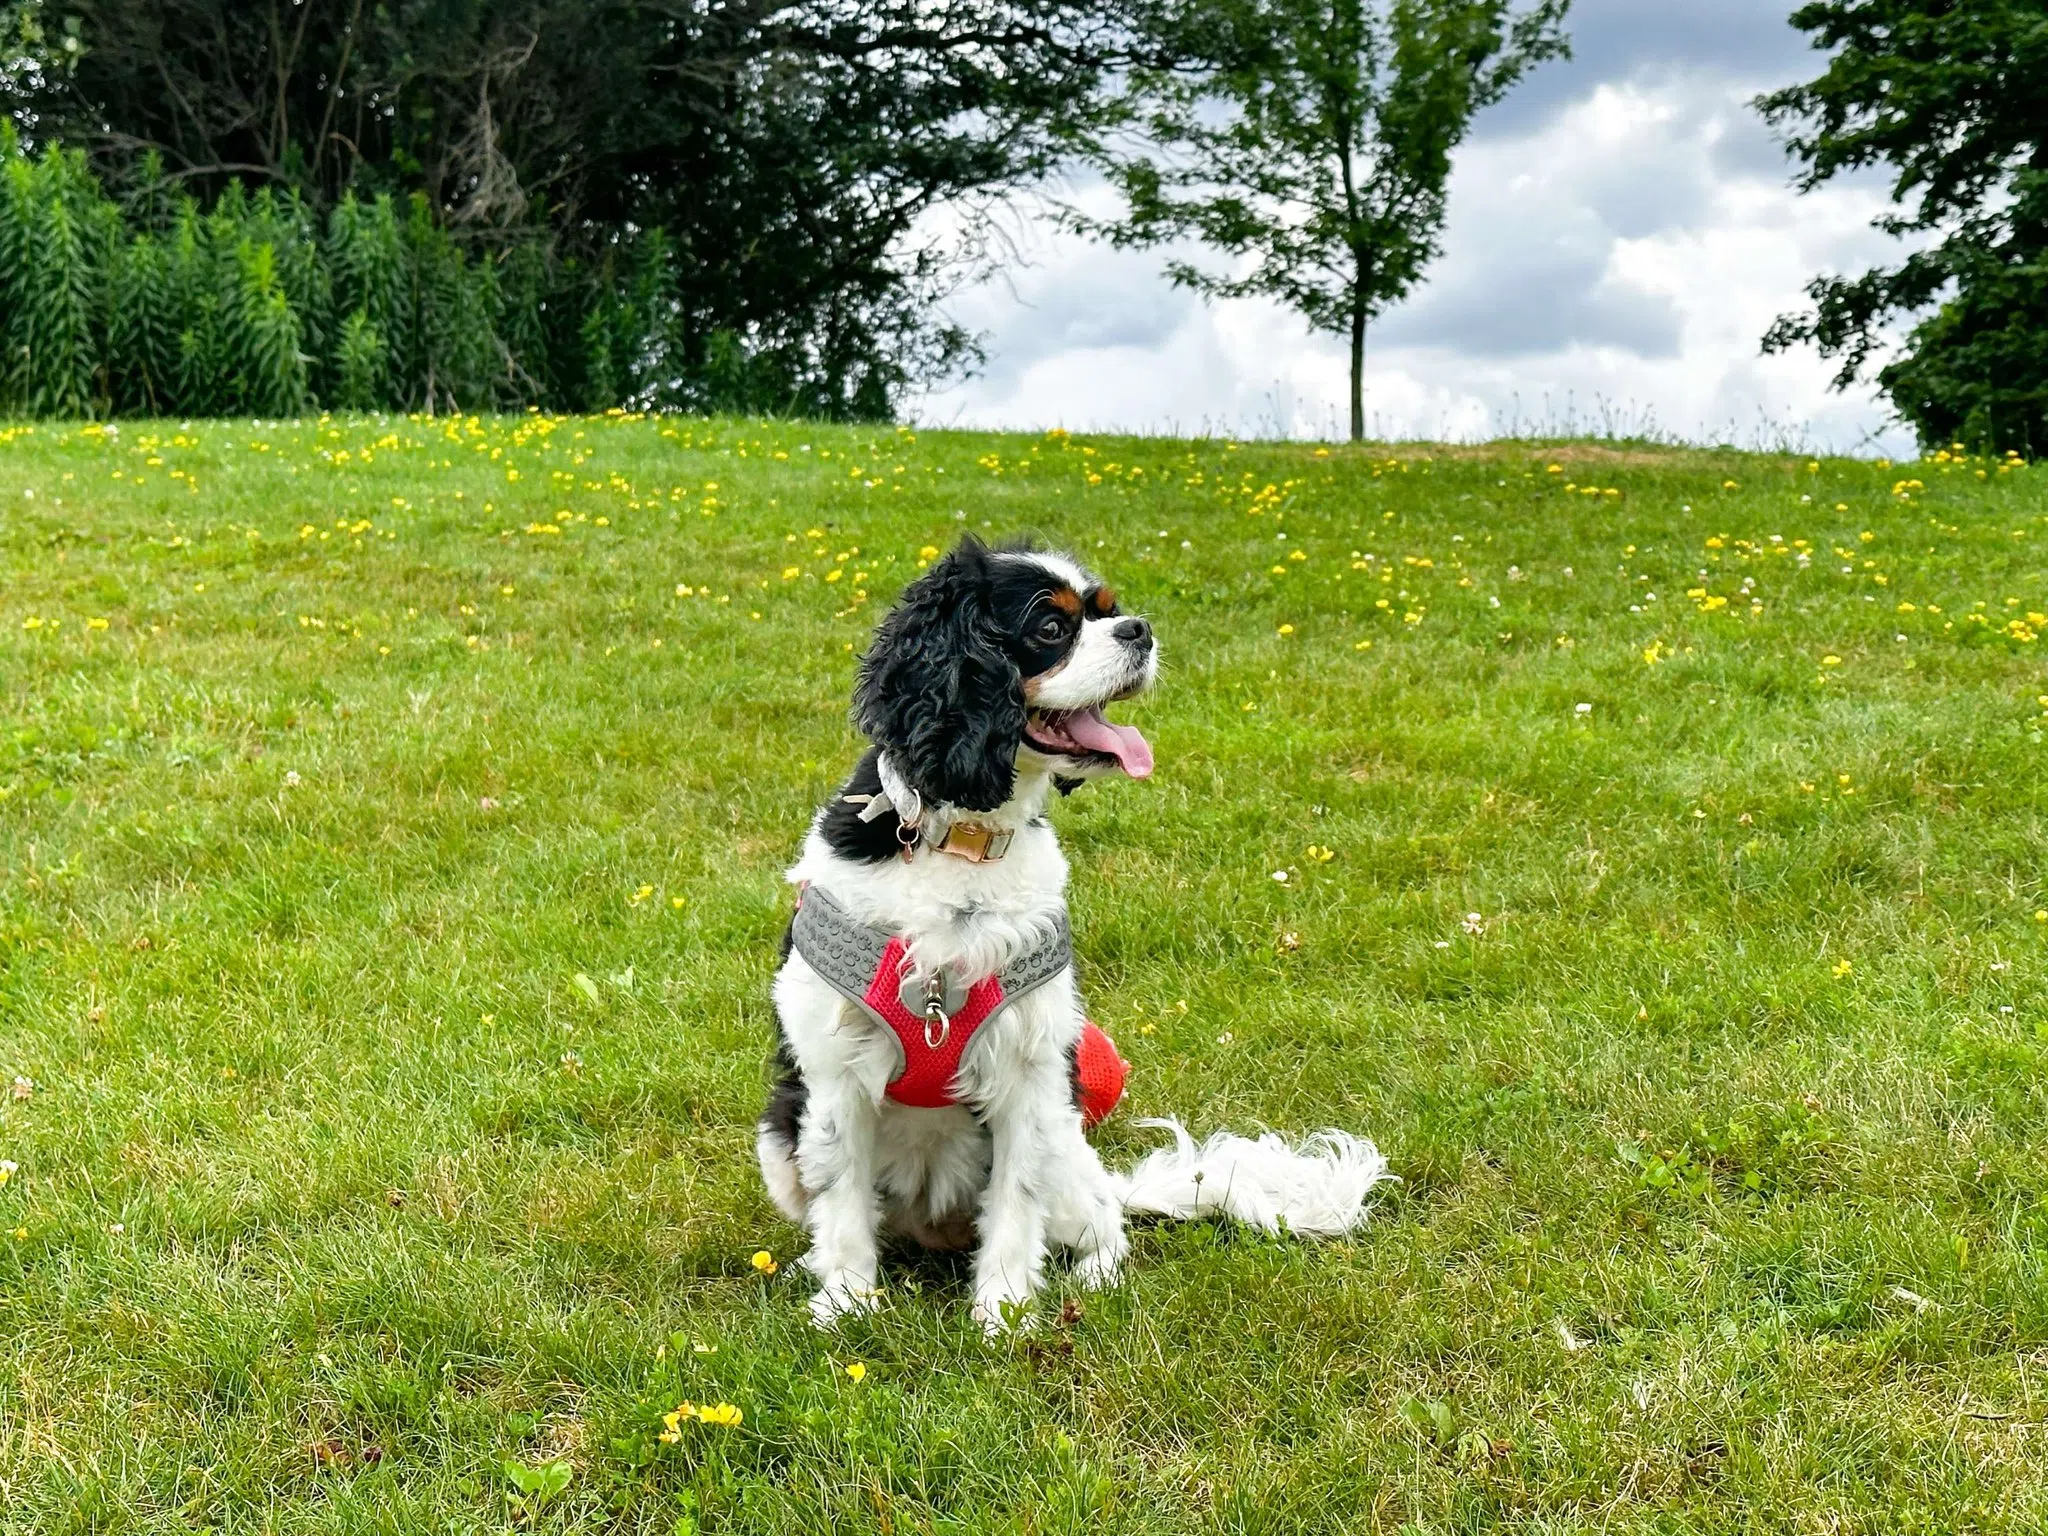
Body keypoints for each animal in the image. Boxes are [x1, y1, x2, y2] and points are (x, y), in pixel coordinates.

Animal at [757, 540, 1392, 1335]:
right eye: (1052, 628)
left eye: (1109, 609)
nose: (1139, 629)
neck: (963, 842)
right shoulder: (831, 1074)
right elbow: (842, 1203)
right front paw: (844, 1304)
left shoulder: (1031, 1073)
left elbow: (1014, 1205)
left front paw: (1002, 1317)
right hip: (777, 1137)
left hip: (1068, 1141)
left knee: (1107, 1226)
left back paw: (1093, 1280)